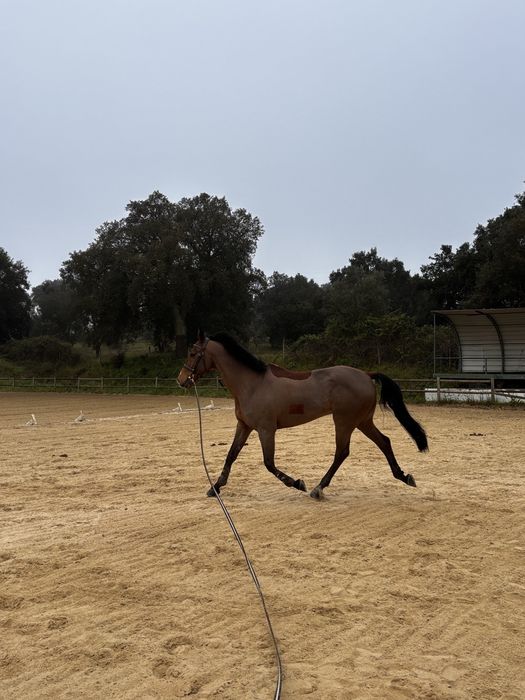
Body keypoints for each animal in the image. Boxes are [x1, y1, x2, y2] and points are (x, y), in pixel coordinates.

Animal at [178, 332, 428, 500]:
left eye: (192, 353)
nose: (181, 380)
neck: (252, 384)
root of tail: (366, 375)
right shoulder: (244, 426)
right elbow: (231, 455)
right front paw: (215, 487)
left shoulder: (266, 430)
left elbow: (269, 463)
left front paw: (297, 483)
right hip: (362, 421)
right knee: (384, 442)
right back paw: (404, 476)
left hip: (344, 421)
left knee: (342, 452)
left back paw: (318, 488)